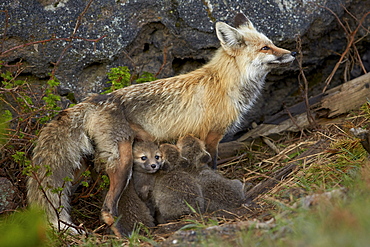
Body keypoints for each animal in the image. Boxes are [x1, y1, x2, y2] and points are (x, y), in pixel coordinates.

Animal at [27, 12, 296, 236]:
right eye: (265, 47)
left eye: (271, 43)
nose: (292, 54)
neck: (224, 83)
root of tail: (92, 100)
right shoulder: (211, 137)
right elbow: (212, 169)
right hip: (123, 161)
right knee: (107, 209)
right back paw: (125, 236)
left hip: (83, 167)